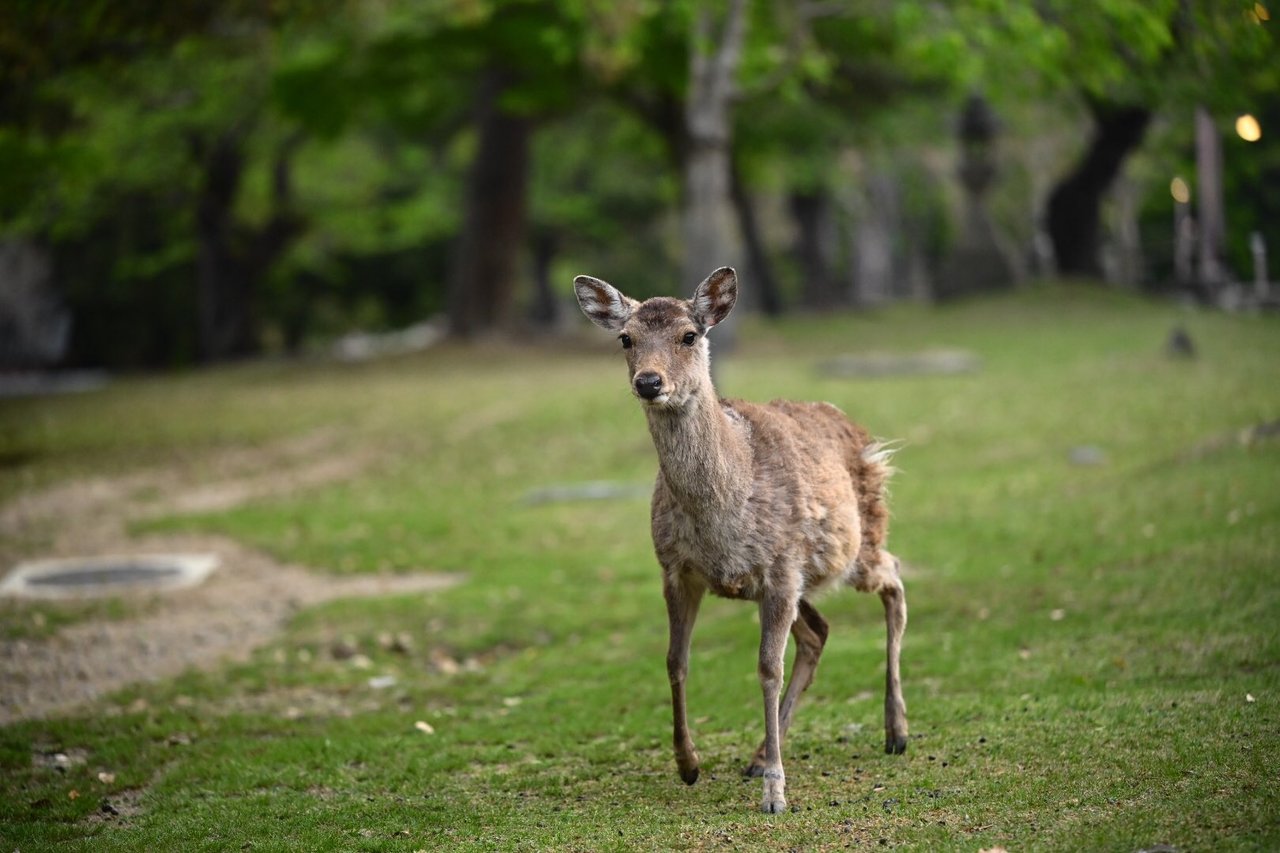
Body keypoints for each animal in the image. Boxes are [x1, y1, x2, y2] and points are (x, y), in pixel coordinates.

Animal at [576, 266, 906, 809]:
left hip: (857, 543)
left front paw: (776, 793)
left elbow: (767, 668)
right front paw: (688, 764)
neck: (720, 515)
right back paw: (757, 756)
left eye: (690, 335)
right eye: (626, 338)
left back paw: (896, 731)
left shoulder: (780, 570)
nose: (649, 382)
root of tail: (853, 424)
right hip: (797, 578)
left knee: (895, 580)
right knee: (819, 632)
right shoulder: (676, 569)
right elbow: (675, 659)